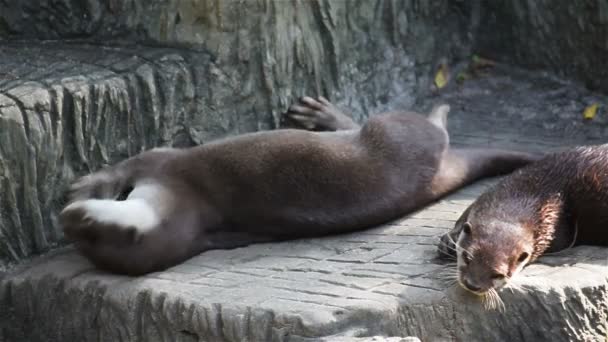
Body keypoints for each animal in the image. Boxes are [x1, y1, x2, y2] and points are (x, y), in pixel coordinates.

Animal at [59, 97, 536, 276]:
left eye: (87, 226)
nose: (67, 220)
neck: (188, 211)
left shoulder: (166, 165)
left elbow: (131, 163)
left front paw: (84, 185)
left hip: (396, 130)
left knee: (431, 124)